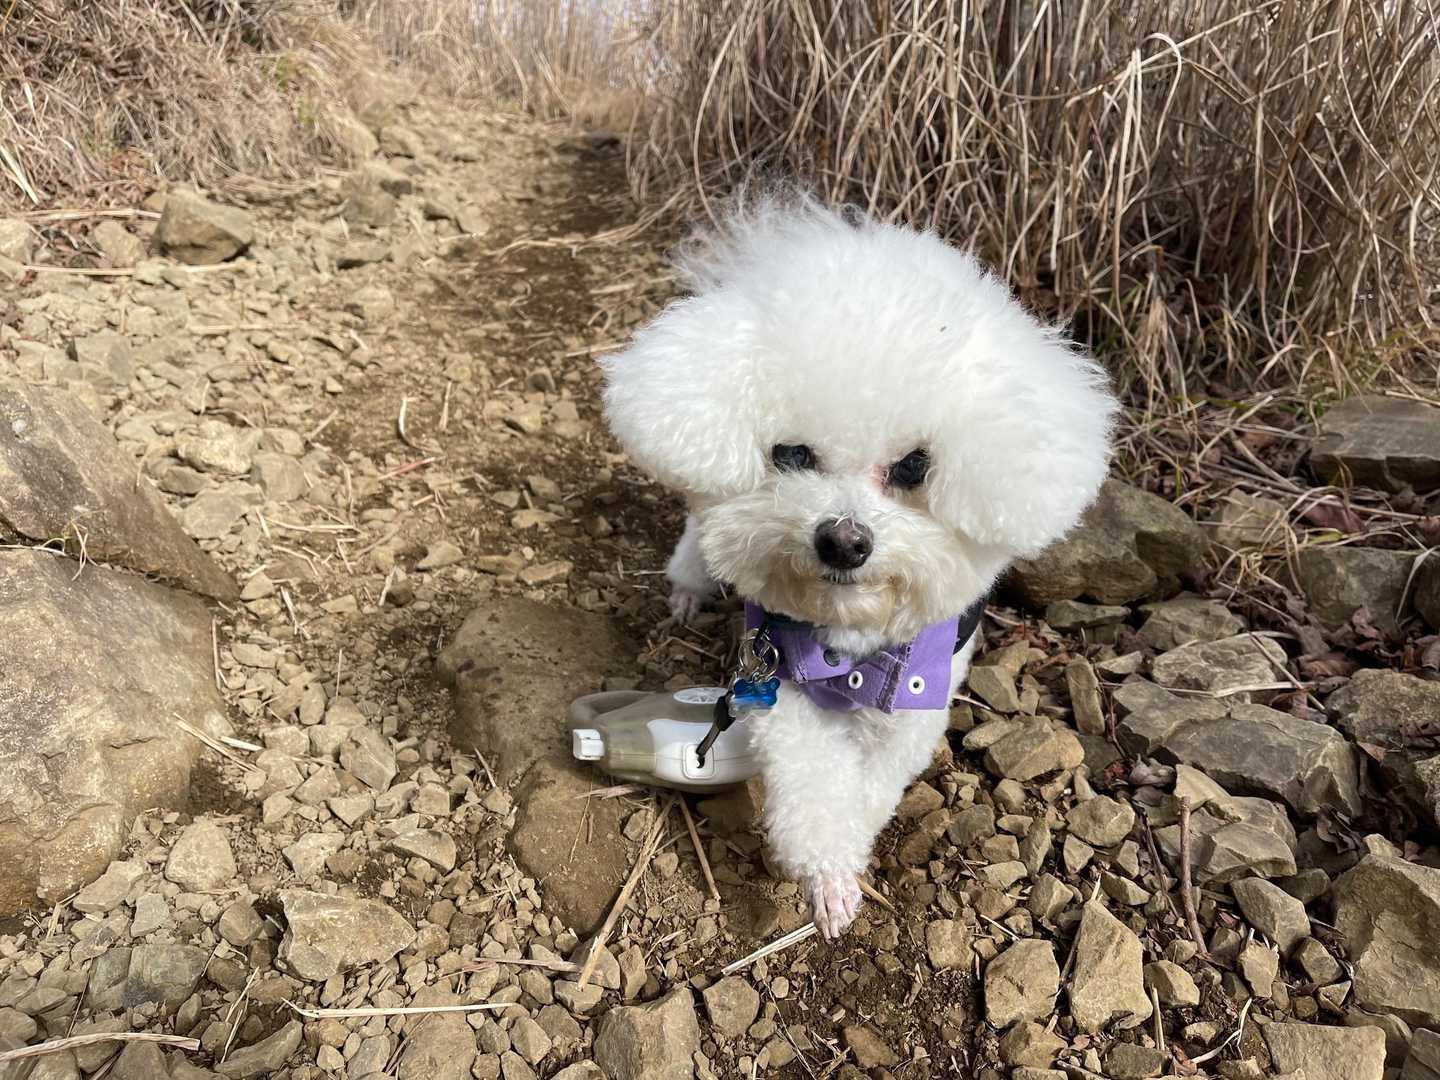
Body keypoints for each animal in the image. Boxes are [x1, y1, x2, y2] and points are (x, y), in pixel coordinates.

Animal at [600, 195, 1117, 938]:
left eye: (913, 467)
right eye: (791, 454)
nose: (844, 542)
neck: (847, 638)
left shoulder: (919, 692)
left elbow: (874, 781)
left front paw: (847, 858)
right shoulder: (777, 682)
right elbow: (812, 782)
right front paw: (828, 876)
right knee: (696, 532)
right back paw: (688, 591)